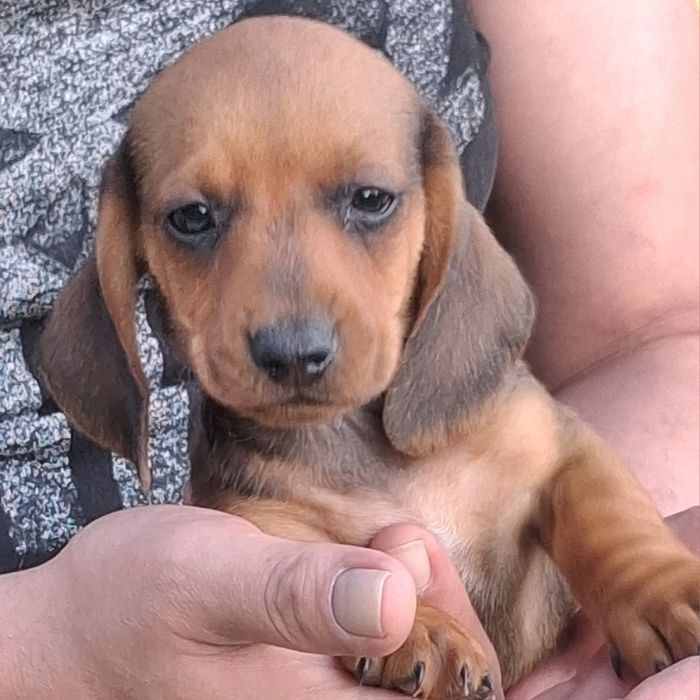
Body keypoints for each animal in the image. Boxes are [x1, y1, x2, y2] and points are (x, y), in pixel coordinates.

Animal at [38, 16, 699, 699]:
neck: (367, 444)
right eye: (192, 217)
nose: (293, 355)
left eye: (371, 199)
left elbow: (610, 518)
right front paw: (420, 627)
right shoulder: (259, 517)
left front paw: (664, 592)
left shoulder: (560, 448)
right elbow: (349, 556)